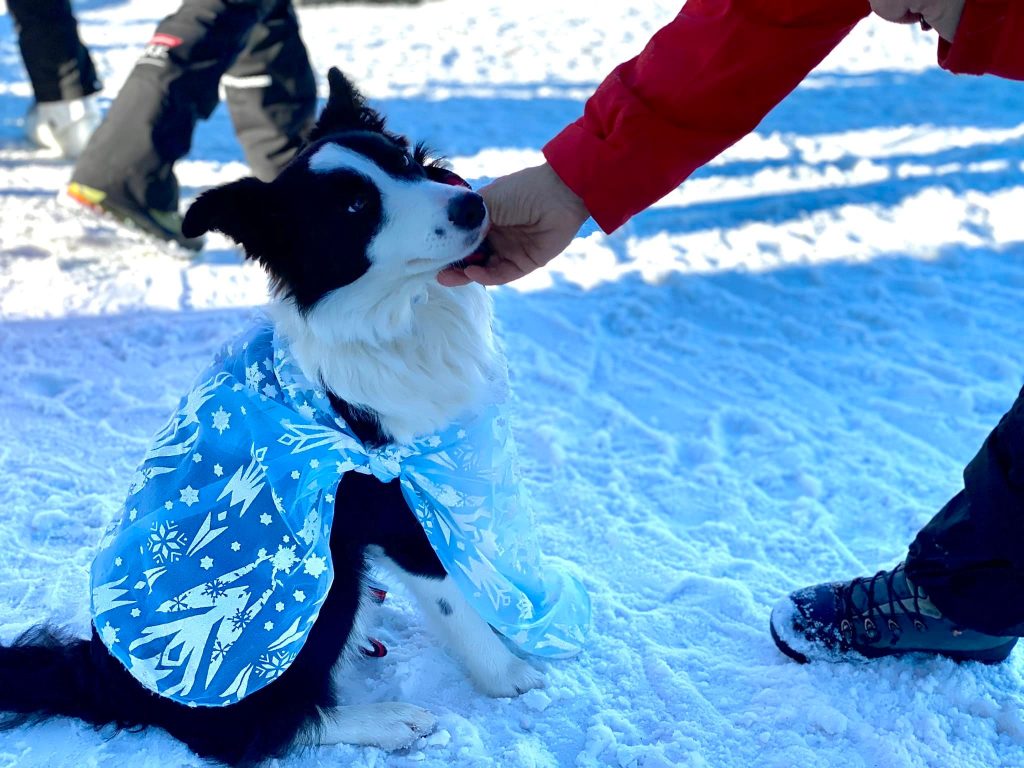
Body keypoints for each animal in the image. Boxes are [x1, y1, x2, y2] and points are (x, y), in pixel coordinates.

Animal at [0, 69, 589, 765]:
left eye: (406, 162)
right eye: (354, 208)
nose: (472, 206)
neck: (398, 319)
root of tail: (108, 675)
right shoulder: (387, 497)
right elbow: (452, 600)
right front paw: (508, 675)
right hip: (308, 579)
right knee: (251, 730)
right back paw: (388, 719)